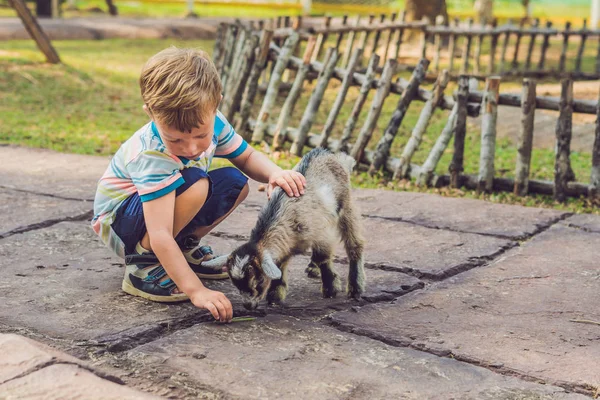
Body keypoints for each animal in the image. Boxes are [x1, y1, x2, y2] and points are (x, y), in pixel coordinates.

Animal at [203, 147, 366, 310]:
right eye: (235, 284)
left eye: (259, 280)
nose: (248, 305)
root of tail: (326, 152)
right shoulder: (287, 242)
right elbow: (280, 264)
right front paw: (275, 295)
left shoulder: (322, 233)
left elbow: (322, 258)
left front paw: (331, 288)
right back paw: (313, 269)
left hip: (346, 205)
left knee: (354, 244)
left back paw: (355, 288)